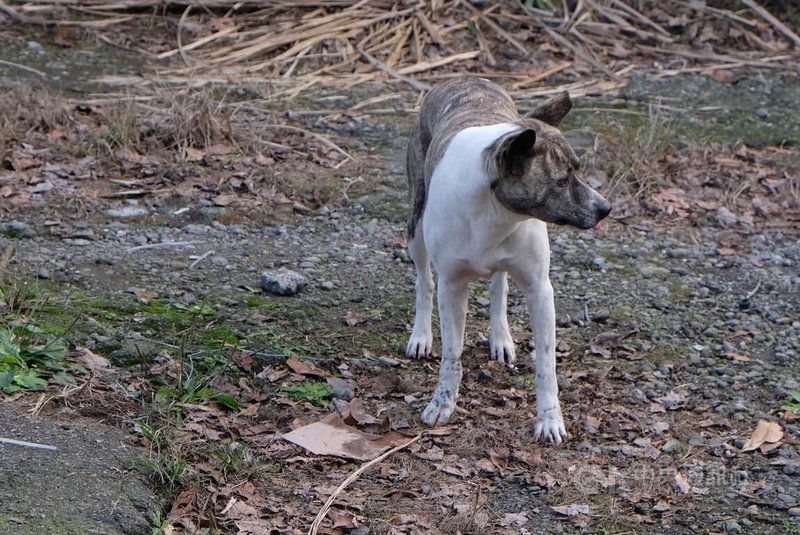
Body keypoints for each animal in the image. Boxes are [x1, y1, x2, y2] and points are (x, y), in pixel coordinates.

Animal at [404, 78, 616, 444]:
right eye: (561, 180)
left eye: (577, 169)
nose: (605, 208)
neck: (495, 211)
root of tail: (465, 78)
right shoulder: (451, 287)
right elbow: (451, 356)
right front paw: (442, 403)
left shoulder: (540, 289)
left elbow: (546, 364)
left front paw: (549, 419)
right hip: (415, 224)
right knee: (424, 282)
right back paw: (421, 335)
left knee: (498, 286)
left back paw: (500, 337)